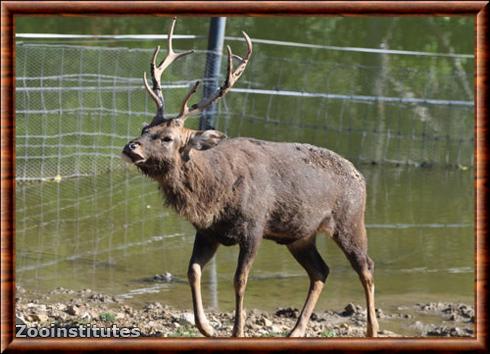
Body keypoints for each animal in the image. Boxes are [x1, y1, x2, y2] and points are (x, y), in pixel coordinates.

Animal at [122, 18, 378, 338]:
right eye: (145, 128)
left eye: (167, 137)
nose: (131, 147)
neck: (213, 194)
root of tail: (361, 177)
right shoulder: (207, 231)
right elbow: (193, 270)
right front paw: (207, 327)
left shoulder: (253, 227)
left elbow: (240, 280)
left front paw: (237, 330)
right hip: (299, 235)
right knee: (321, 270)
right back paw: (296, 330)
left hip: (350, 220)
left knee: (366, 266)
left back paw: (372, 330)